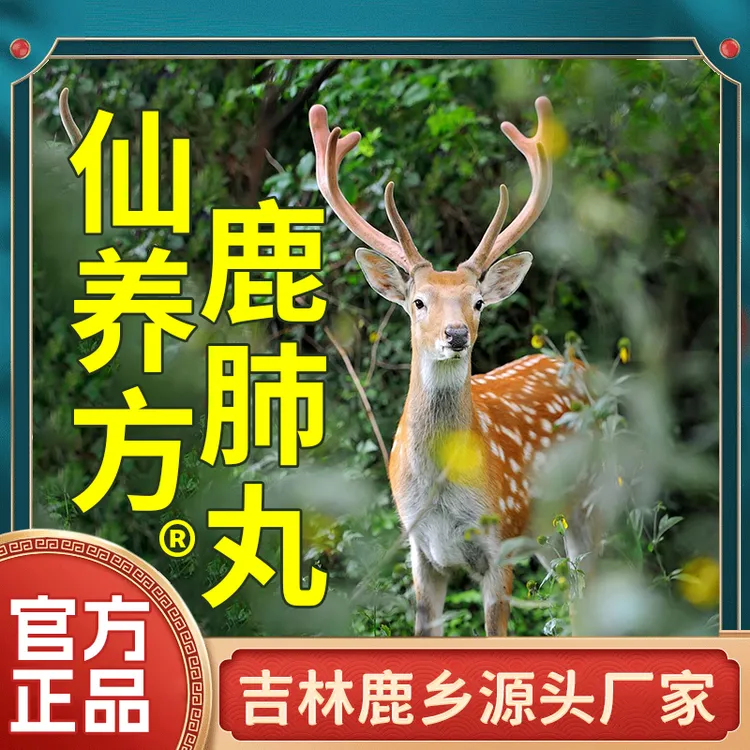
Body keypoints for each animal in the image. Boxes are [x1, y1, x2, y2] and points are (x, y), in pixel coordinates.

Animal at [309, 97, 598, 637]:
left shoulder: (499, 544)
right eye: (418, 302)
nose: (456, 334)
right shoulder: (420, 552)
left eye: (478, 302)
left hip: (594, 498)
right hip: (547, 534)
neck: (442, 496)